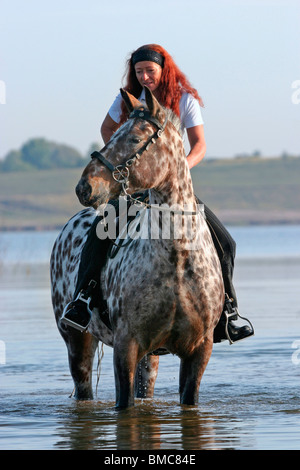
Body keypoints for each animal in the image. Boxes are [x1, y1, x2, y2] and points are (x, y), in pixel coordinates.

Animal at [49, 87, 223, 408]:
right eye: (115, 134)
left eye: (134, 139)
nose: (84, 187)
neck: (177, 258)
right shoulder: (126, 345)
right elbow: (124, 402)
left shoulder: (199, 349)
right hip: (77, 343)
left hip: (150, 357)